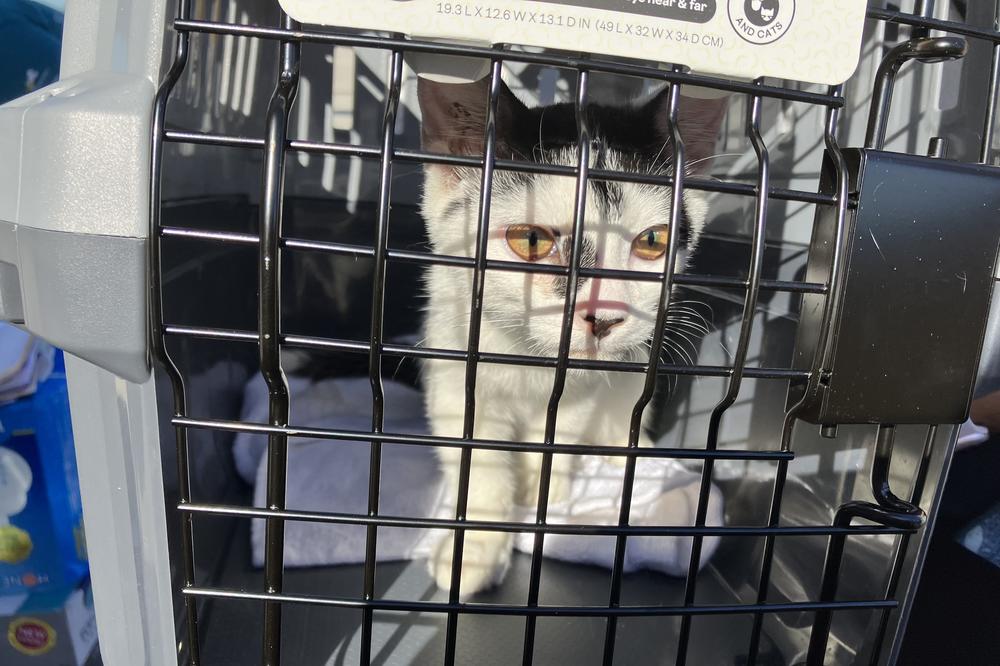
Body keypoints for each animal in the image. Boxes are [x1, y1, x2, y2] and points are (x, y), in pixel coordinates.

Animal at [414, 75, 728, 592]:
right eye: (532, 240)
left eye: (652, 241)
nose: (604, 317)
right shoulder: (453, 367)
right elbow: (477, 458)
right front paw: (476, 548)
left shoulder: (585, 388)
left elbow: (561, 428)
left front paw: (545, 489)